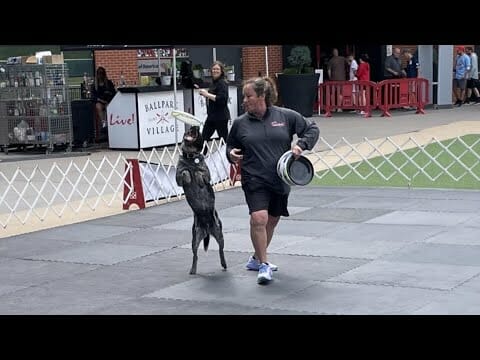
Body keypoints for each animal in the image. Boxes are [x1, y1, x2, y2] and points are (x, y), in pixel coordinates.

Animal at [175, 125, 228, 274]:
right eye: (189, 130)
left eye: (198, 132)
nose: (195, 126)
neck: (191, 157)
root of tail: (207, 229)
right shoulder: (178, 178)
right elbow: (185, 172)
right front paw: (189, 176)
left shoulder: (207, 176)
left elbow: (200, 173)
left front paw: (197, 176)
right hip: (195, 238)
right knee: (195, 255)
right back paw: (193, 269)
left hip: (220, 234)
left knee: (221, 250)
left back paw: (224, 264)